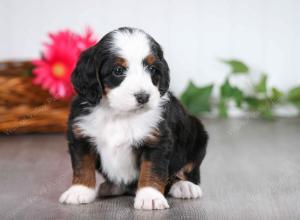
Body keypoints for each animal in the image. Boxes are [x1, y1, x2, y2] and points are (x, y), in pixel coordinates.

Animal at [58, 27, 209, 210]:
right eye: (118, 70)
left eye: (152, 69)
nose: (143, 97)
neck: (119, 114)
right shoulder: (80, 135)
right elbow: (82, 165)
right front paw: (79, 191)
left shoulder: (157, 140)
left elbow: (152, 170)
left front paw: (150, 196)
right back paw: (111, 186)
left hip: (198, 135)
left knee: (188, 170)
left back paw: (185, 186)